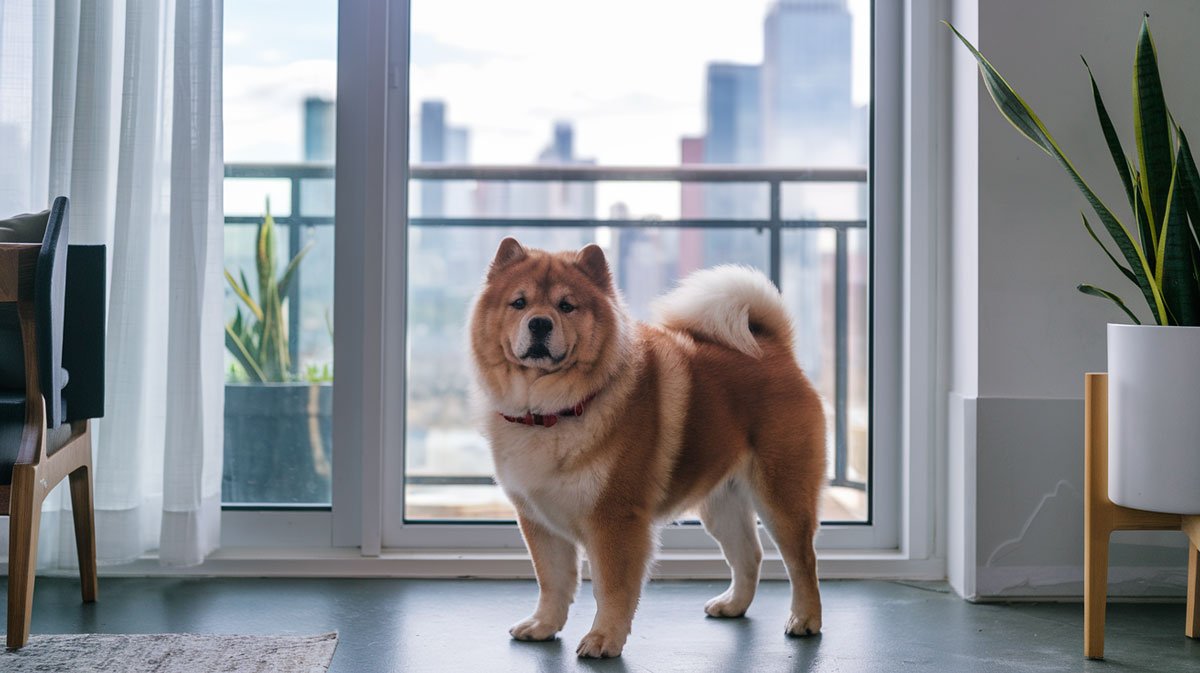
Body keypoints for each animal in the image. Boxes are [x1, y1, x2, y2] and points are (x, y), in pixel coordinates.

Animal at [468, 237, 825, 657]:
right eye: (519, 303)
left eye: (566, 305)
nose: (540, 322)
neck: (551, 412)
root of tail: (774, 348)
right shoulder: (539, 521)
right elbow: (552, 582)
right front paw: (542, 625)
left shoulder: (615, 521)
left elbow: (612, 589)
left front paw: (603, 639)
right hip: (721, 504)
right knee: (748, 555)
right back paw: (732, 605)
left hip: (781, 496)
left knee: (802, 561)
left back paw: (805, 619)